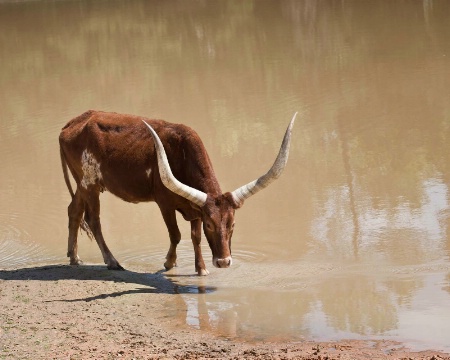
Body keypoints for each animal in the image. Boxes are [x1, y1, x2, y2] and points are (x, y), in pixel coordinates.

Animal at [59, 109, 298, 276]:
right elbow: (176, 235)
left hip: (82, 183)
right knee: (93, 220)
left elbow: (195, 238)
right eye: (210, 224)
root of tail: (71, 124)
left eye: (232, 224)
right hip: (89, 184)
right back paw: (112, 261)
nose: (223, 262)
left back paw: (74, 257)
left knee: (74, 211)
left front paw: (201, 268)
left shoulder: (196, 209)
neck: (182, 155)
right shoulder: (164, 204)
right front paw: (169, 262)